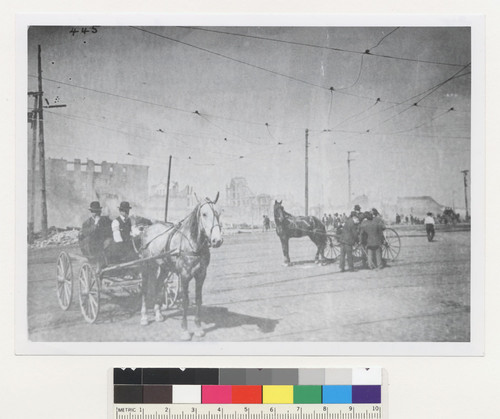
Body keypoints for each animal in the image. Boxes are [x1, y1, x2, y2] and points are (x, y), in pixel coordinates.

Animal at [138, 194, 222, 342]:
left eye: (218, 213)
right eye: (204, 214)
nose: (217, 240)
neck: (193, 245)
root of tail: (148, 228)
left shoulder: (201, 275)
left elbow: (198, 299)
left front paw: (198, 329)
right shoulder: (184, 276)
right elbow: (185, 302)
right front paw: (185, 331)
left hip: (164, 267)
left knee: (159, 284)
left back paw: (158, 314)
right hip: (146, 264)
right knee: (144, 288)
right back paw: (144, 317)